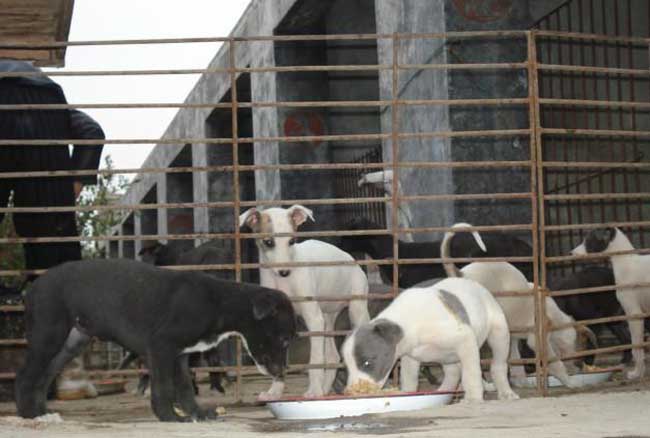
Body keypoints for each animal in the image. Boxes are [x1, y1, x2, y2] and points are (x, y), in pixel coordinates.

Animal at [16, 258, 296, 422]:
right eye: (283, 339)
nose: (282, 372)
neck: (218, 303)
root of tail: (32, 288)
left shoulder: (181, 355)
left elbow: (185, 388)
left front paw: (197, 413)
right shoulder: (161, 346)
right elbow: (163, 387)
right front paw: (169, 416)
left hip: (71, 341)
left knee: (44, 376)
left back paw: (41, 413)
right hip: (48, 335)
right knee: (26, 375)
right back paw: (26, 413)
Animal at [340, 276, 516, 402]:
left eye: (367, 363)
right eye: (347, 367)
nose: (351, 392)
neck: (409, 321)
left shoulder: (466, 340)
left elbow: (471, 374)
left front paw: (473, 398)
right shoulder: (410, 357)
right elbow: (409, 378)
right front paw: (407, 394)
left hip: (499, 333)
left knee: (498, 366)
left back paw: (506, 393)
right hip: (448, 356)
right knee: (453, 373)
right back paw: (442, 392)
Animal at [572, 228, 648, 378]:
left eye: (588, 239)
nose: (572, 252)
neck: (626, 261)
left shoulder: (634, 313)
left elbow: (636, 346)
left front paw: (637, 373)